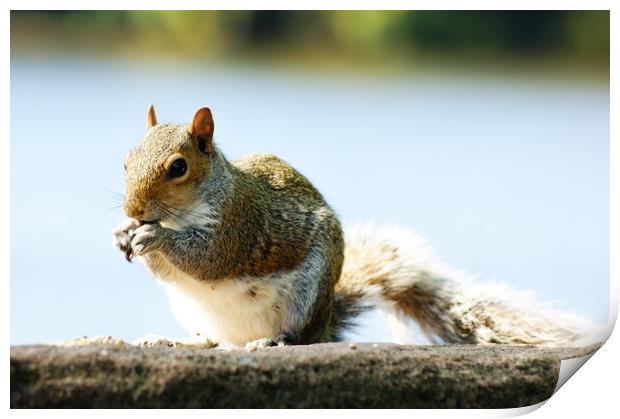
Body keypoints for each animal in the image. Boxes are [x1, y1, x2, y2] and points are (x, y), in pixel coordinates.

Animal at [114, 105, 600, 352]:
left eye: (178, 167)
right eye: (125, 161)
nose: (133, 208)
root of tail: (327, 320)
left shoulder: (239, 222)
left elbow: (209, 258)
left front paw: (155, 237)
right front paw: (123, 233)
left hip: (306, 298)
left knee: (300, 338)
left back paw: (273, 341)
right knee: (213, 342)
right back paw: (174, 341)